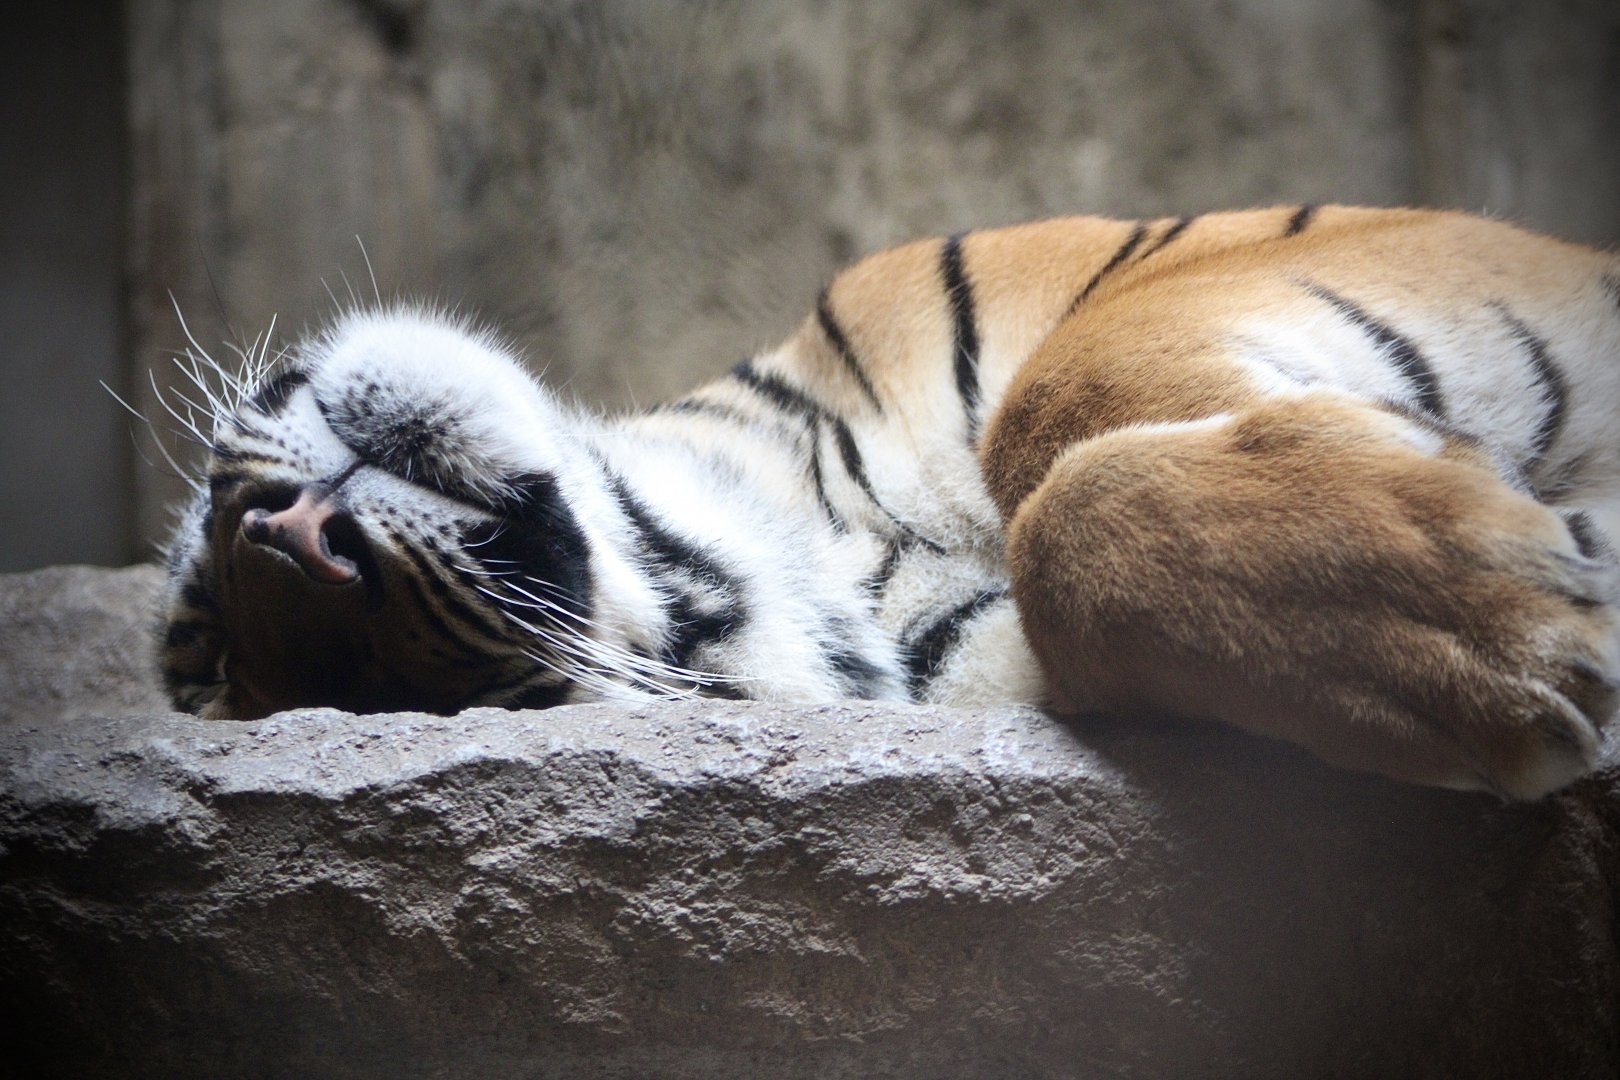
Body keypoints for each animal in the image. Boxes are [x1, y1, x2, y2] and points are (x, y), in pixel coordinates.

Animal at [156, 205, 1620, 800]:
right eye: (226, 669)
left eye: (194, 628)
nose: (290, 546)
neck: (834, 539)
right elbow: (1066, 528)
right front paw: (1518, 633)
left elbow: (1062, 390)